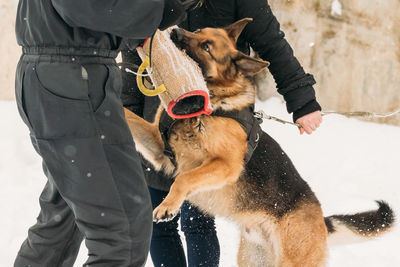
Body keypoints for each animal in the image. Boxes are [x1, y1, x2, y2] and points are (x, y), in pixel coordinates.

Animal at [124, 18, 394, 266]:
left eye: (206, 47)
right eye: (198, 31)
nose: (175, 32)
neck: (208, 106)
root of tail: (323, 222)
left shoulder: (226, 165)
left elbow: (184, 179)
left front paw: (168, 205)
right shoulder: (160, 150)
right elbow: (130, 118)